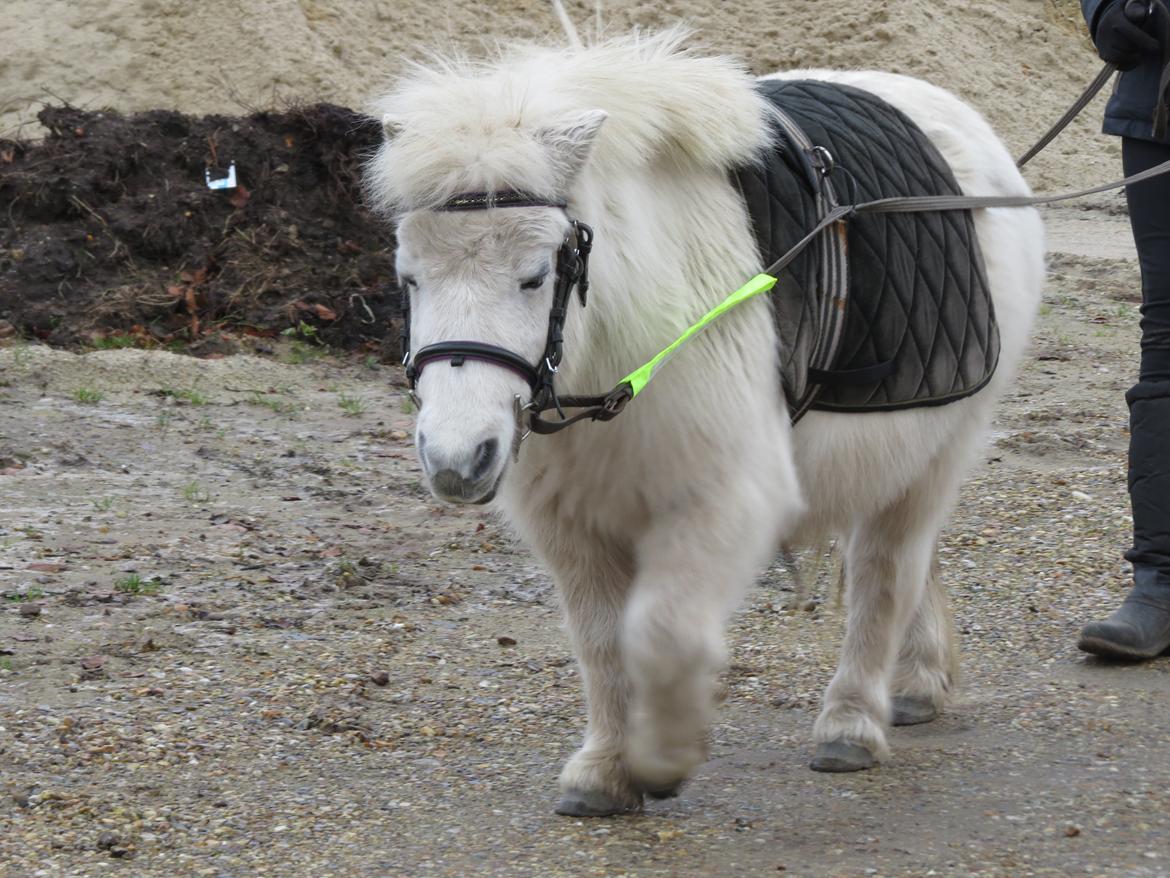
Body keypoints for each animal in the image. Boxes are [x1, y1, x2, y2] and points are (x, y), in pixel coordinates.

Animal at [365, 28, 1045, 816]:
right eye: (409, 277)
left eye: (535, 276)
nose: (456, 460)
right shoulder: (573, 524)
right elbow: (601, 641)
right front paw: (605, 770)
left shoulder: (722, 498)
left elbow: (663, 631)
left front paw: (664, 759)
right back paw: (919, 683)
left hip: (944, 449)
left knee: (888, 570)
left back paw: (853, 722)